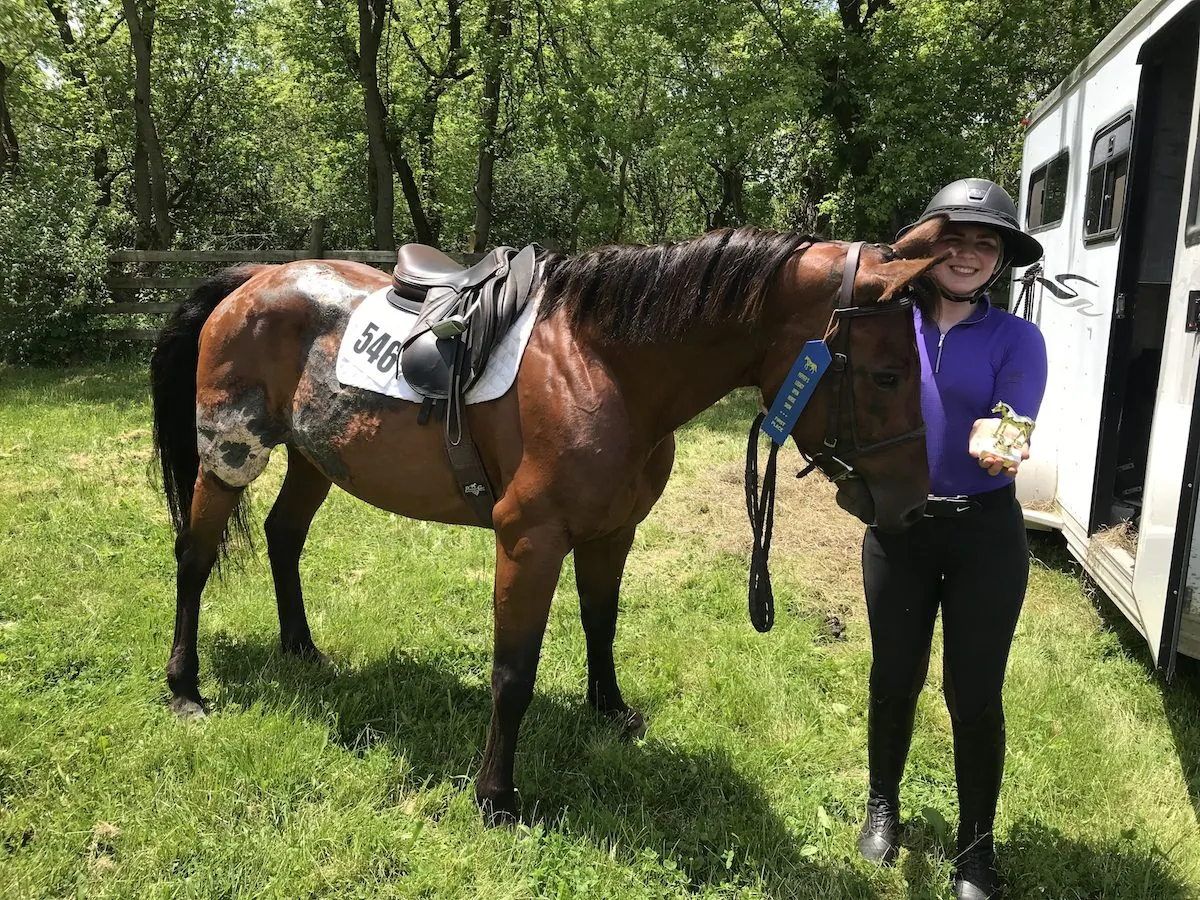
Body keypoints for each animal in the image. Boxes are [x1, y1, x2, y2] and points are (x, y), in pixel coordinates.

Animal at [149, 218, 944, 823]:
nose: (913, 506)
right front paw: (495, 795)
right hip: (229, 458)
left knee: (284, 538)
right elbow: (513, 672)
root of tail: (248, 281)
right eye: (887, 375)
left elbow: (601, 622)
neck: (606, 364)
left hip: (317, 458)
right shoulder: (528, 542)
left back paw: (302, 648)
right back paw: (185, 689)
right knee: (194, 557)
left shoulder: (612, 533)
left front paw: (609, 710)